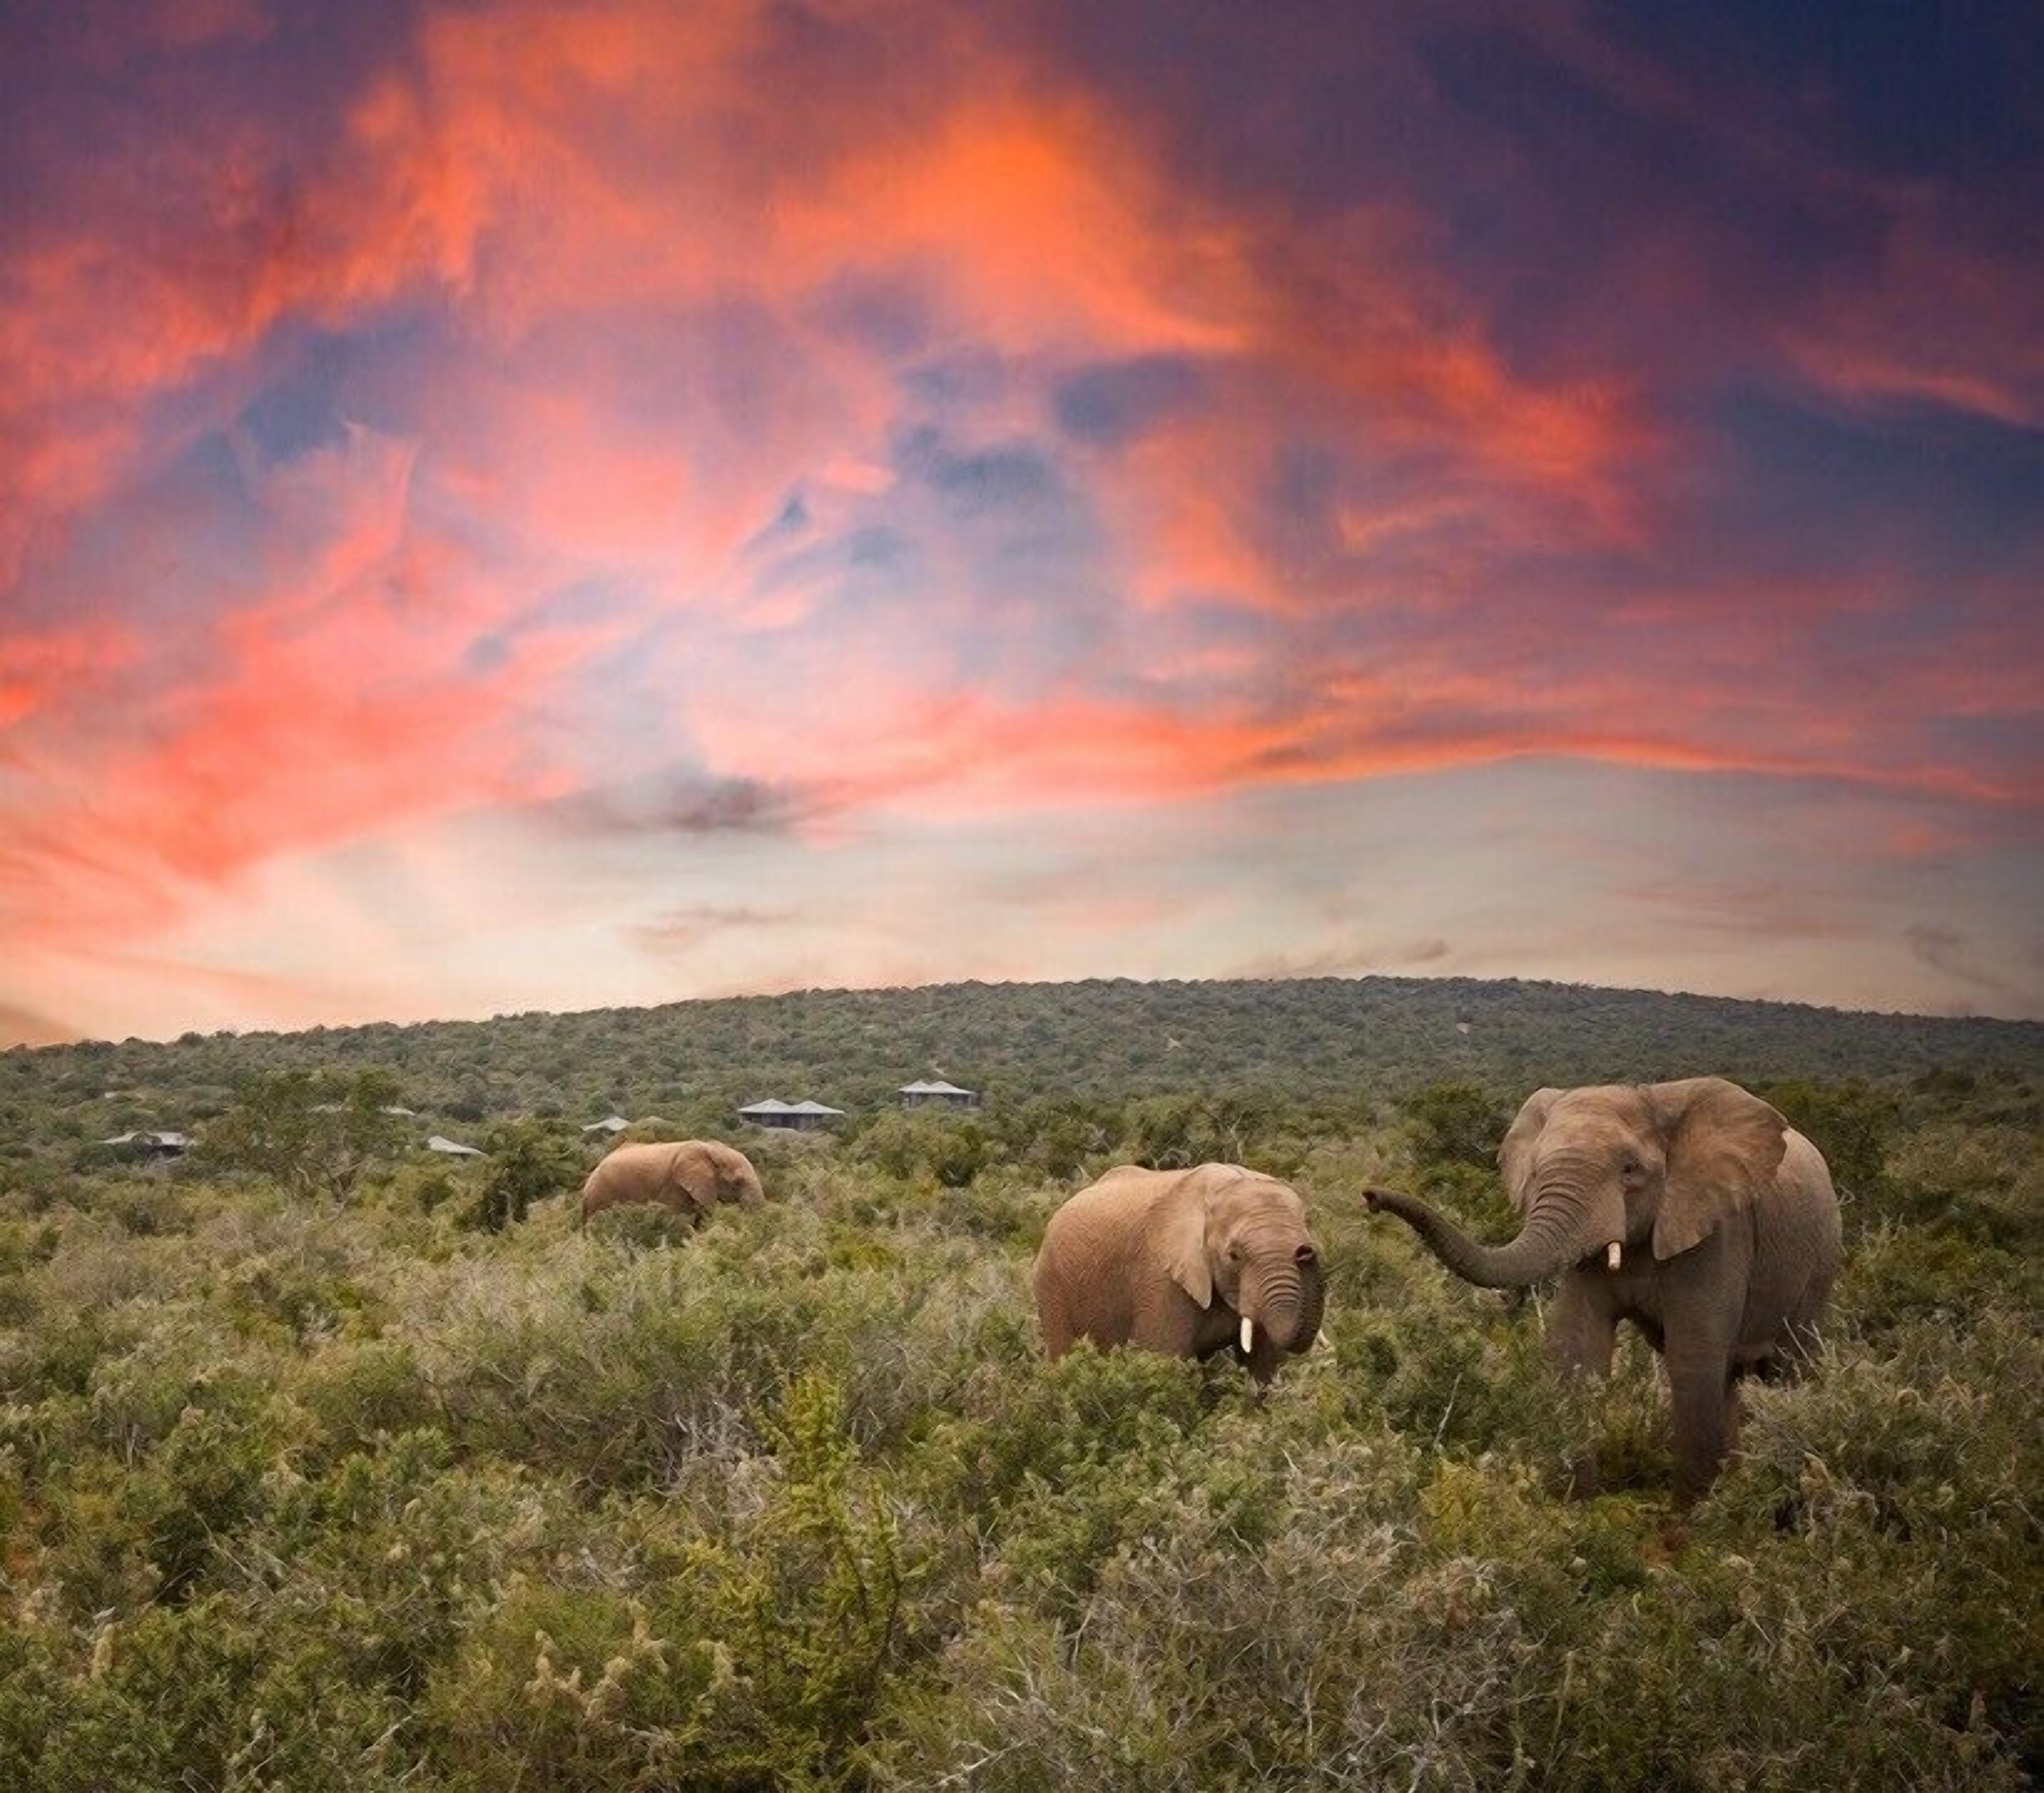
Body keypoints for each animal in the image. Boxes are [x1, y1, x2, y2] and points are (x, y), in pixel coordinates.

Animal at [1034, 1163, 1325, 1385]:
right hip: (1051, 1284)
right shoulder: (1160, 1276)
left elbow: (1264, 1363)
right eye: (1234, 1256)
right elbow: (1166, 1359)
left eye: (1304, 1244)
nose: (1306, 1253)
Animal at [1365, 1077, 1840, 1504]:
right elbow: (1579, 1349)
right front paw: (1575, 1509)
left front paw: (1688, 1524)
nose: (1369, 1196)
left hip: (1819, 1264)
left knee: (1788, 1366)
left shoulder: (1717, 1232)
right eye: (1535, 1172)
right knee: (1731, 1381)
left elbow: (1693, 1357)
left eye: (1630, 1170)